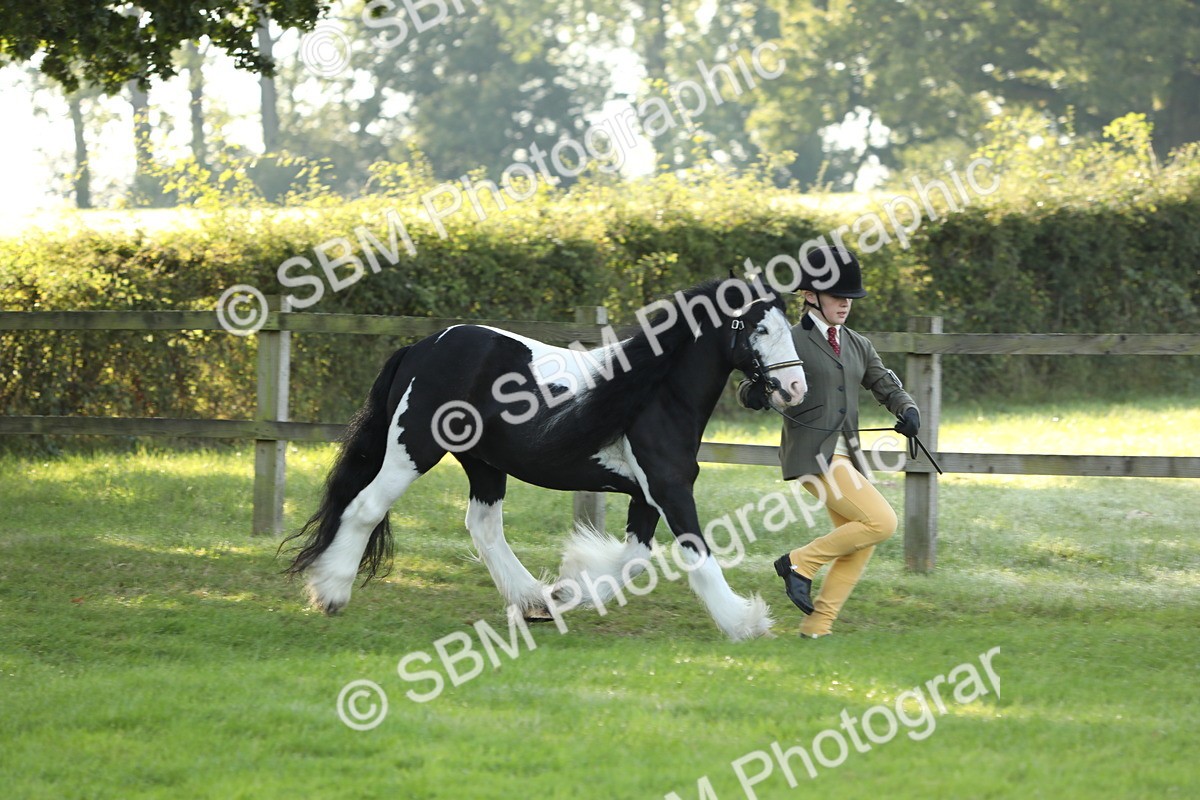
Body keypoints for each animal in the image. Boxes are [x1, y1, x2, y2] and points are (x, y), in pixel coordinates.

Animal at [282, 275, 809, 640]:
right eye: (760, 327)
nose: (795, 387)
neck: (656, 393)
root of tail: (420, 347)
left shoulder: (646, 494)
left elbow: (633, 559)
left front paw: (569, 589)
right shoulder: (670, 487)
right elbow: (697, 552)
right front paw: (745, 621)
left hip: (484, 464)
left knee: (483, 527)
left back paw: (534, 600)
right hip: (413, 450)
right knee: (365, 508)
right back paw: (331, 594)